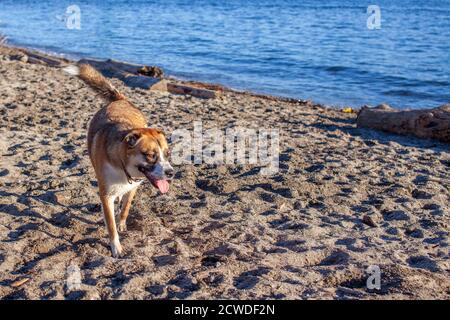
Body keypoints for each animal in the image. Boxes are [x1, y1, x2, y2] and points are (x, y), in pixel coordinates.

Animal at [63, 63, 174, 256]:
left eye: (167, 154)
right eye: (151, 155)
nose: (171, 173)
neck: (123, 166)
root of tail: (119, 100)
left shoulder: (134, 186)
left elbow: (126, 207)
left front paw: (122, 222)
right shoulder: (106, 196)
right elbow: (110, 225)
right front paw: (116, 247)